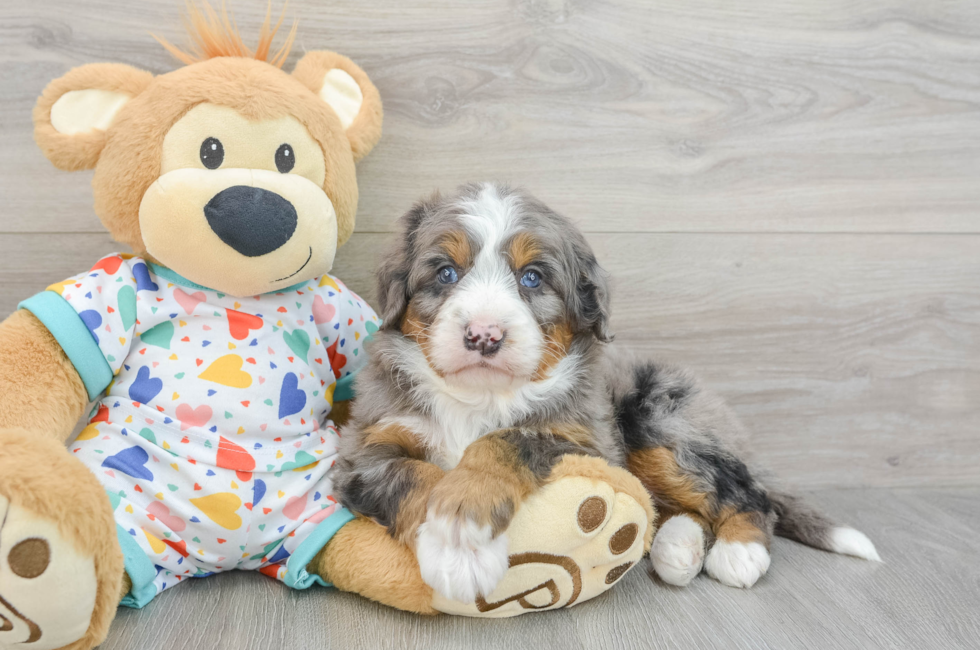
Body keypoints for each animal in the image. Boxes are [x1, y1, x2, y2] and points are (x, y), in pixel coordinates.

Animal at [332, 181, 880, 604]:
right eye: (446, 272)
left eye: (533, 277)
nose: (484, 335)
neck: (480, 399)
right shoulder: (366, 446)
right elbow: (414, 475)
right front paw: (456, 547)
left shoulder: (585, 441)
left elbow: (505, 440)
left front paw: (462, 534)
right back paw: (678, 548)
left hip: (656, 416)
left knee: (748, 493)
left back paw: (738, 552)